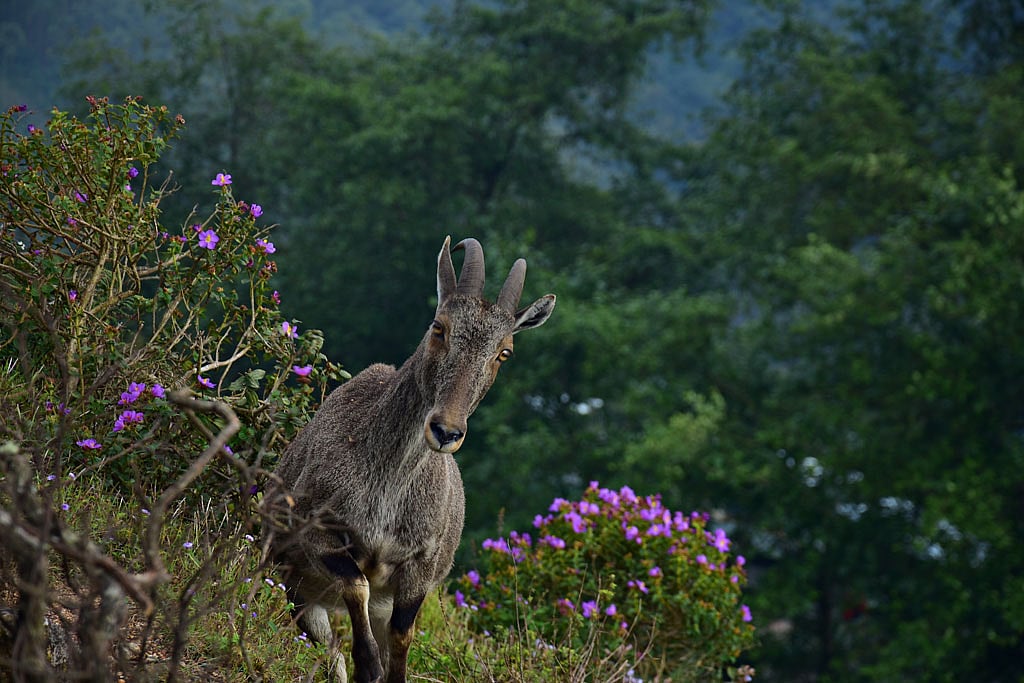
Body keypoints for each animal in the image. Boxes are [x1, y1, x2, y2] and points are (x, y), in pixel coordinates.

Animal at [270, 236, 555, 683]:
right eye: (439, 328)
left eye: (504, 352)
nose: (446, 431)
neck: (388, 489)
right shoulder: (315, 530)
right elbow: (357, 587)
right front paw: (368, 663)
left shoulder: (420, 565)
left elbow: (402, 636)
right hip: (294, 585)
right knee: (329, 653)